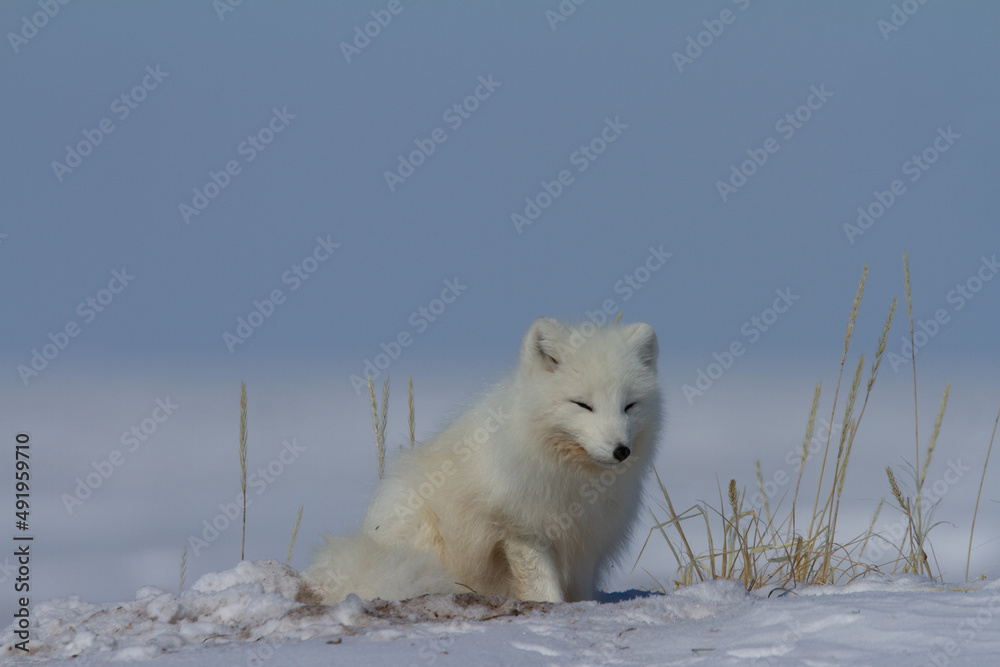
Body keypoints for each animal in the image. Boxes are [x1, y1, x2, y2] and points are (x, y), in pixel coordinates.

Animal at [306, 317, 662, 603]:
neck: (573, 479)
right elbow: (543, 586)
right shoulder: (521, 531)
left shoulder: (586, 540)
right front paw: (552, 606)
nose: (621, 450)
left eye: (629, 406)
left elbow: (579, 589)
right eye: (583, 405)